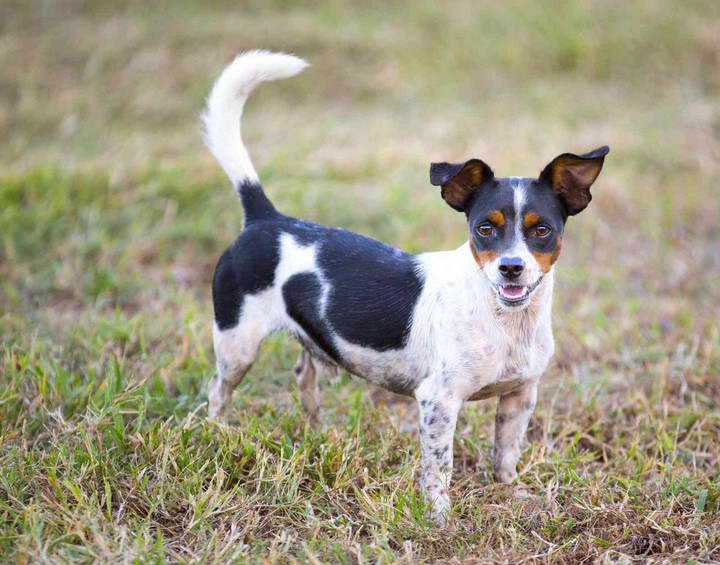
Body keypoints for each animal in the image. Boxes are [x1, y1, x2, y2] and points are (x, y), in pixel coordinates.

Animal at [201, 50, 608, 524]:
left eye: (542, 230)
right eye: (485, 228)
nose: (511, 267)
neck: (504, 319)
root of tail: (267, 218)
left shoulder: (520, 394)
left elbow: (506, 454)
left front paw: (510, 493)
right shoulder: (439, 401)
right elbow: (439, 467)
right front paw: (440, 519)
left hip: (309, 343)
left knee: (304, 377)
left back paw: (316, 434)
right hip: (238, 345)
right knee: (218, 391)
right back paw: (218, 433)